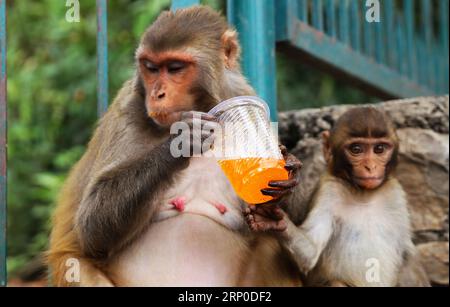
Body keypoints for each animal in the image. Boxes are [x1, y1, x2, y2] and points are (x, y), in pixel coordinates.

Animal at [48, 6, 302, 288]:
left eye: (175, 68)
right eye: (151, 67)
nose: (156, 94)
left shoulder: (241, 92)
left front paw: (286, 173)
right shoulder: (128, 107)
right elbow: (91, 228)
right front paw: (182, 141)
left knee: (270, 245)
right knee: (77, 266)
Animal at [244, 107, 430, 288]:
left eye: (379, 149)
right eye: (356, 149)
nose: (370, 167)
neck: (363, 194)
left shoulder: (395, 194)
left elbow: (407, 254)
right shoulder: (329, 190)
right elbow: (310, 253)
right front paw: (273, 221)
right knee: (336, 282)